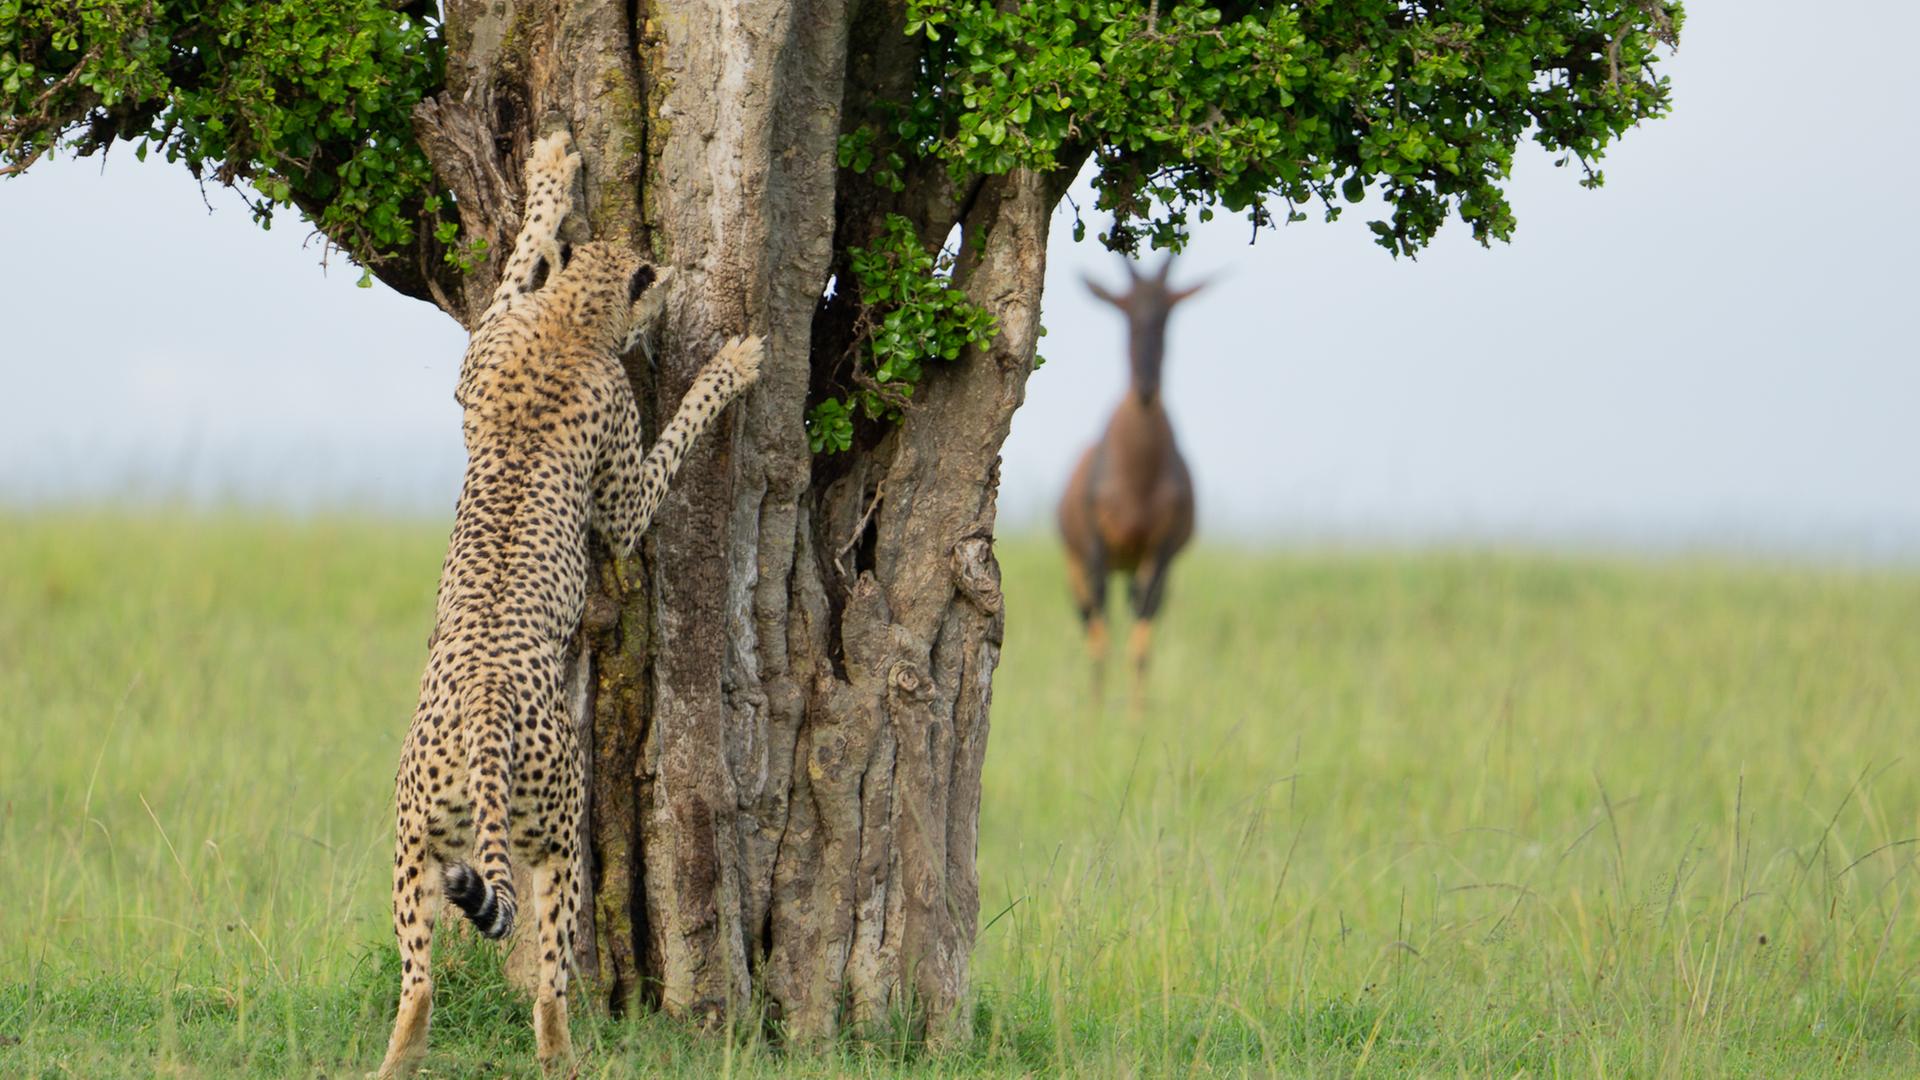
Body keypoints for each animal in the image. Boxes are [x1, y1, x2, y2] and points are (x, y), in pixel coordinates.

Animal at [374, 130, 764, 1068]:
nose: (672, 291)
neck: (570, 322)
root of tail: (484, 711)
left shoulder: (478, 355)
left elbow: (520, 257)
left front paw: (550, 177)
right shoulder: (619, 497)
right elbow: (670, 443)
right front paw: (730, 366)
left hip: (414, 845)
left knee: (420, 980)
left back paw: (394, 1060)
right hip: (557, 839)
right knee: (551, 984)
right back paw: (564, 1058)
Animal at [1059, 255, 1205, 691]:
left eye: (1169, 312)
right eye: (1122, 309)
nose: (1146, 388)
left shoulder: (1161, 554)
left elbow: (1140, 649)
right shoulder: (1095, 552)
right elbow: (1100, 643)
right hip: (1079, 567)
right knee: (1090, 626)